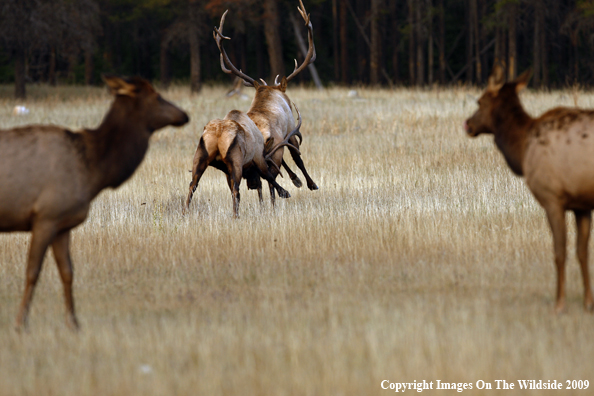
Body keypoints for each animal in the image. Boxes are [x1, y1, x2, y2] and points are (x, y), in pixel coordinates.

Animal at [0, 76, 188, 330]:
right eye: (157, 96)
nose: (184, 115)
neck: (94, 173)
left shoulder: (62, 224)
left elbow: (67, 272)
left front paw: (73, 323)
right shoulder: (46, 216)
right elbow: (32, 271)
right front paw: (21, 322)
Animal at [210, 0, 316, 204]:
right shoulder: (290, 130)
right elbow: (297, 158)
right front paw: (309, 183)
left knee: (247, 185)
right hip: (272, 151)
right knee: (271, 179)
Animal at [462, 65, 592, 312]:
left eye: (479, 101)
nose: (467, 124)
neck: (522, 148)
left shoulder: (552, 197)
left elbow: (559, 251)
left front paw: (559, 303)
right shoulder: (581, 204)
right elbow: (582, 252)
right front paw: (588, 302)